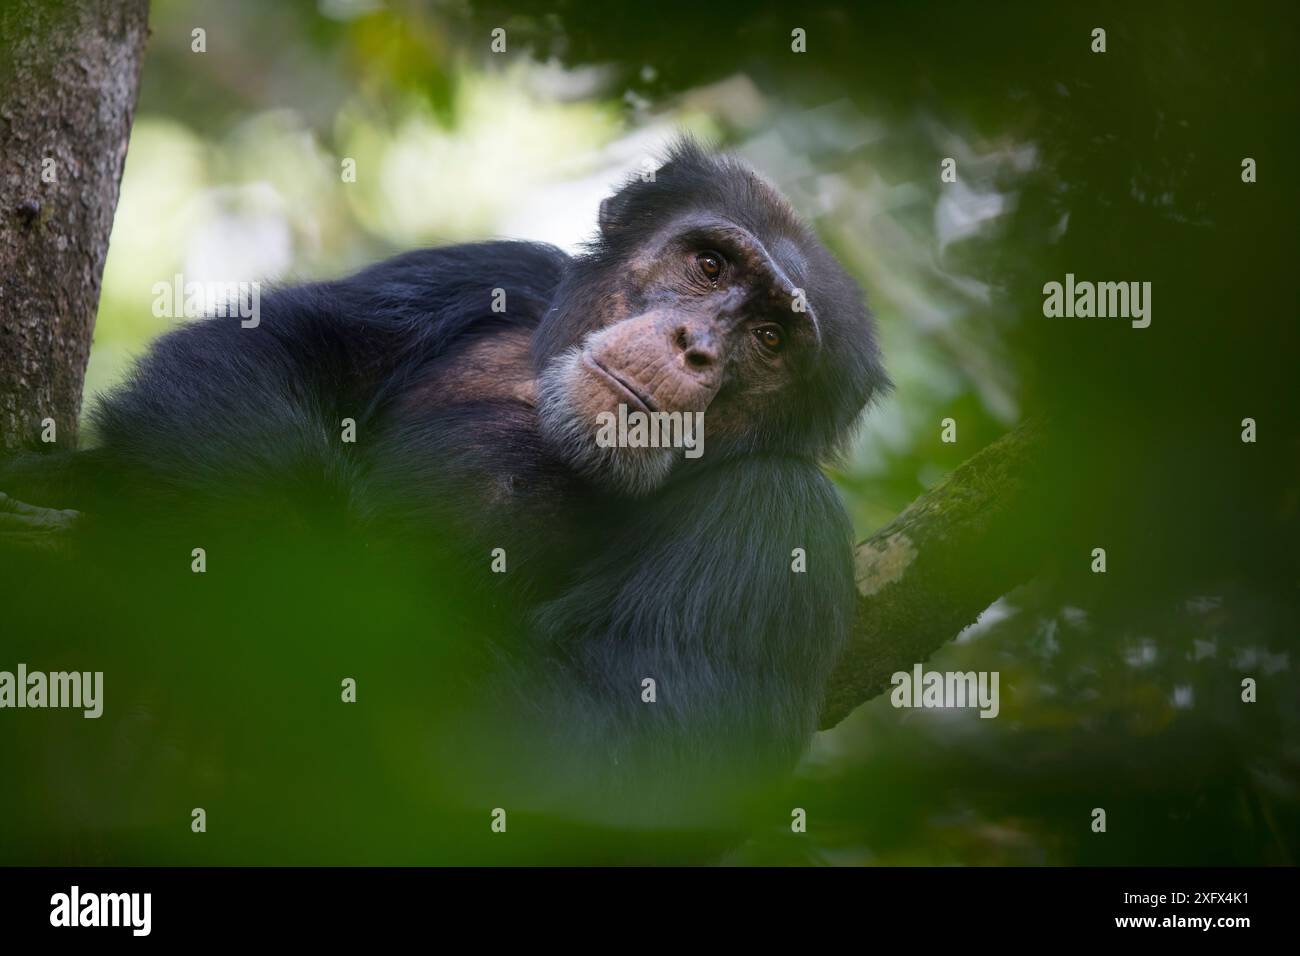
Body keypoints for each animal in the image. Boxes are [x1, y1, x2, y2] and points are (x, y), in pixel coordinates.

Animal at [0, 138, 883, 858]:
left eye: (770, 339)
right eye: (709, 267)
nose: (694, 345)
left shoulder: (781, 523)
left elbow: (627, 757)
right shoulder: (496, 270)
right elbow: (278, 345)